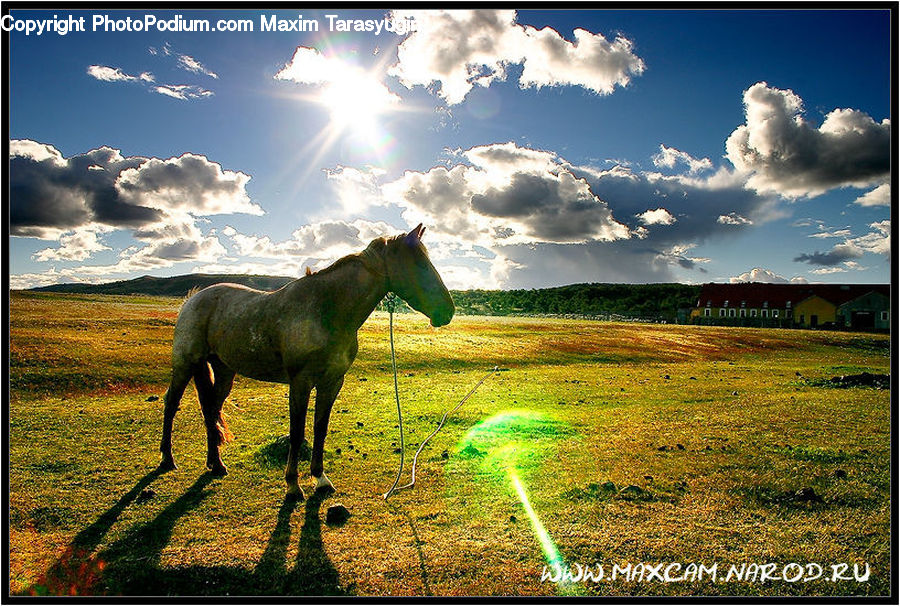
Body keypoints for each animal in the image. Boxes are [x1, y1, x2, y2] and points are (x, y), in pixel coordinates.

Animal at [158, 224, 454, 500]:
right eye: (420, 263)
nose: (447, 311)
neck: (326, 310)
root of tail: (194, 298)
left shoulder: (332, 382)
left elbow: (320, 428)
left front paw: (320, 478)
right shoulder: (300, 382)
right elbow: (298, 432)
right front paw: (292, 484)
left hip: (223, 370)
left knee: (211, 409)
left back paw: (216, 464)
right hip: (185, 364)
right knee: (172, 403)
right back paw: (167, 460)